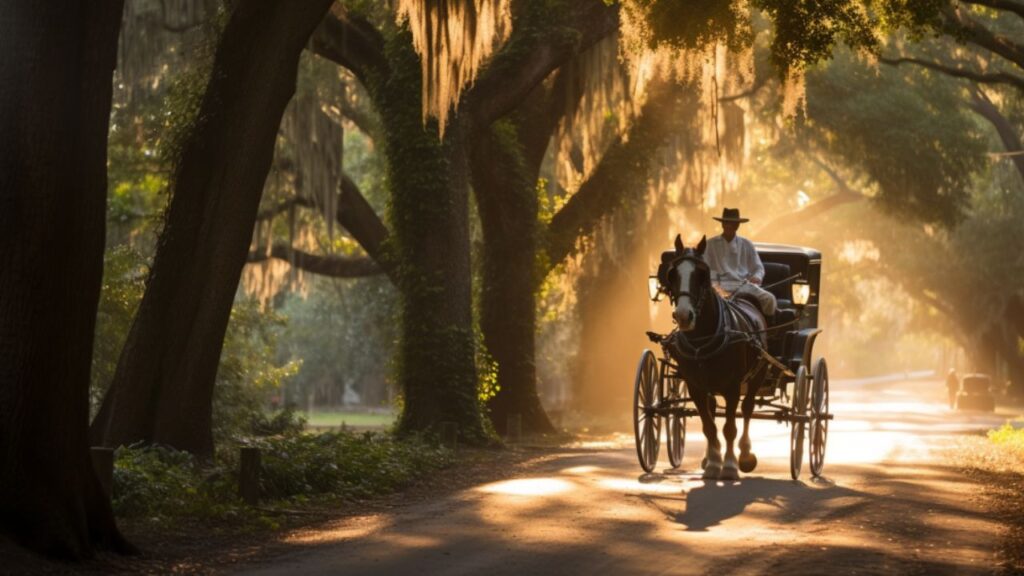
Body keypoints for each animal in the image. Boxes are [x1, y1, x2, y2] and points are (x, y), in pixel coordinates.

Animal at [655, 233, 770, 479]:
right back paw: (709, 457)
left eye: (702, 274)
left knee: (747, 409)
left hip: (757, 374)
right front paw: (714, 464)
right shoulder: (695, 386)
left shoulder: (733, 387)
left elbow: (730, 428)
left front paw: (730, 466)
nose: (684, 315)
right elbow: (709, 426)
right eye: (672, 273)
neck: (703, 339)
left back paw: (745, 455)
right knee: (714, 411)